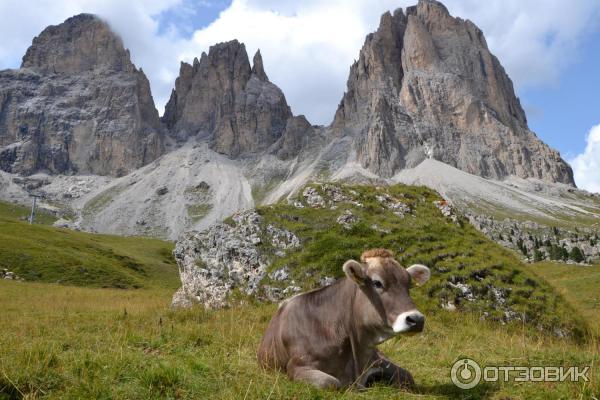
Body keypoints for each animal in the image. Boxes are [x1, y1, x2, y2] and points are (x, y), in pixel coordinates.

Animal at [258, 248, 432, 390]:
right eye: (377, 283)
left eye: (409, 285)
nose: (417, 319)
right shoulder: (297, 366)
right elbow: (330, 383)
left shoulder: (376, 359)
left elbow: (407, 377)